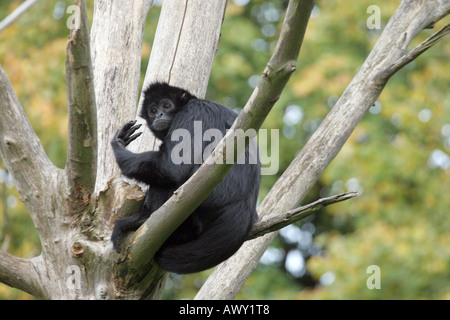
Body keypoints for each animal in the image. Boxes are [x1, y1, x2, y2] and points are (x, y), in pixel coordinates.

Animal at [110, 81, 262, 274]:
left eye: (166, 106)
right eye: (153, 110)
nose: (159, 114)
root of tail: (244, 209)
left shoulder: (193, 112)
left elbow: (171, 168)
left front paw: (118, 144)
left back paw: (143, 219)